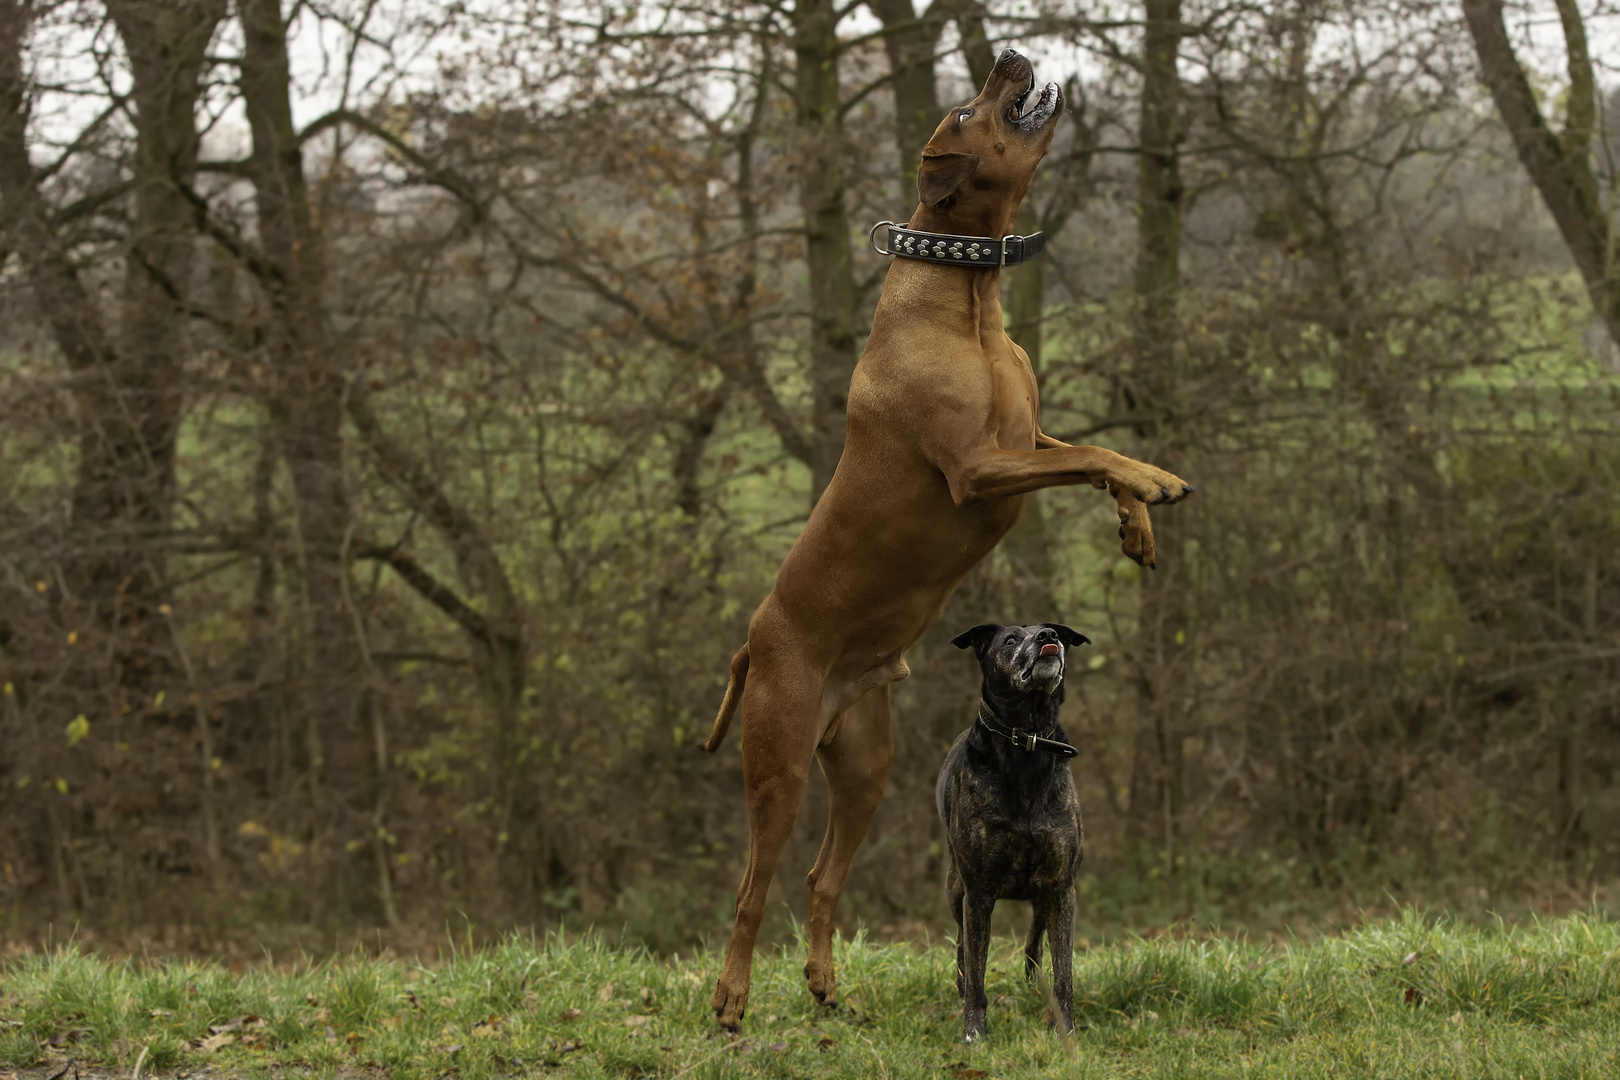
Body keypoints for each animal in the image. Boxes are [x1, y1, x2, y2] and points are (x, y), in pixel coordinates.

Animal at [939, 621, 1088, 1042]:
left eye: (1054, 631)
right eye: (1009, 640)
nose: (1048, 637)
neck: (1028, 738)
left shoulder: (1061, 887)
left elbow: (1064, 971)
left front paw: (1066, 1030)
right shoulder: (978, 892)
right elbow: (977, 968)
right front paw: (975, 1033)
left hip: (1042, 895)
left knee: (1035, 941)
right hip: (955, 888)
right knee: (962, 944)